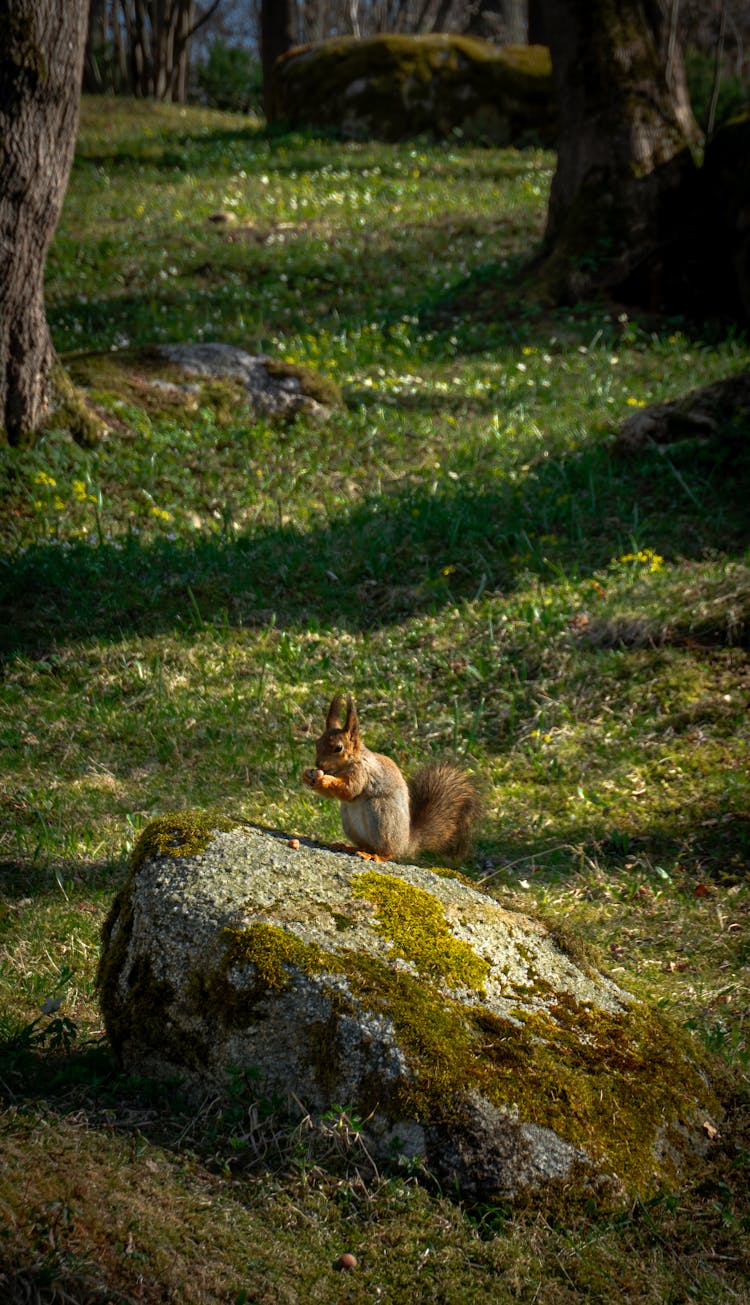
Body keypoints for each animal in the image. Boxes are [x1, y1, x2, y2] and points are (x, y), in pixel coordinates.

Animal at [301, 694, 480, 866]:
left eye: (338, 748)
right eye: (317, 743)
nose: (318, 764)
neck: (350, 761)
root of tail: (406, 844)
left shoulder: (362, 773)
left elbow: (349, 790)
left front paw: (325, 779)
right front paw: (306, 775)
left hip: (381, 814)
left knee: (388, 851)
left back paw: (376, 856)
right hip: (349, 821)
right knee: (365, 844)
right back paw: (348, 847)